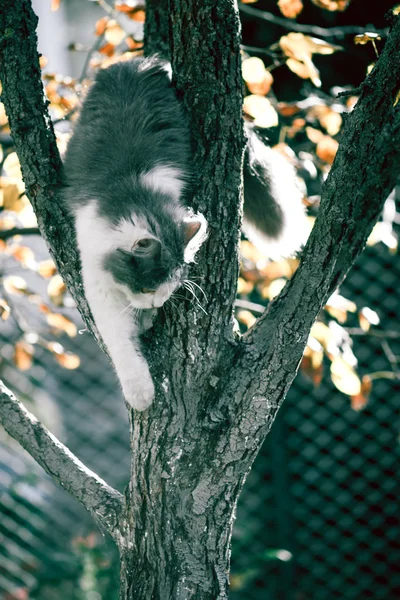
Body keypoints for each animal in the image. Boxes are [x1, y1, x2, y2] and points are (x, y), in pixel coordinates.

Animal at [62, 54, 306, 410]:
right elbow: (123, 346)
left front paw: (147, 317)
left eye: (170, 288)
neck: (133, 196)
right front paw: (141, 394)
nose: (158, 302)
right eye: (149, 288)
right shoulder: (99, 283)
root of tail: (138, 61)